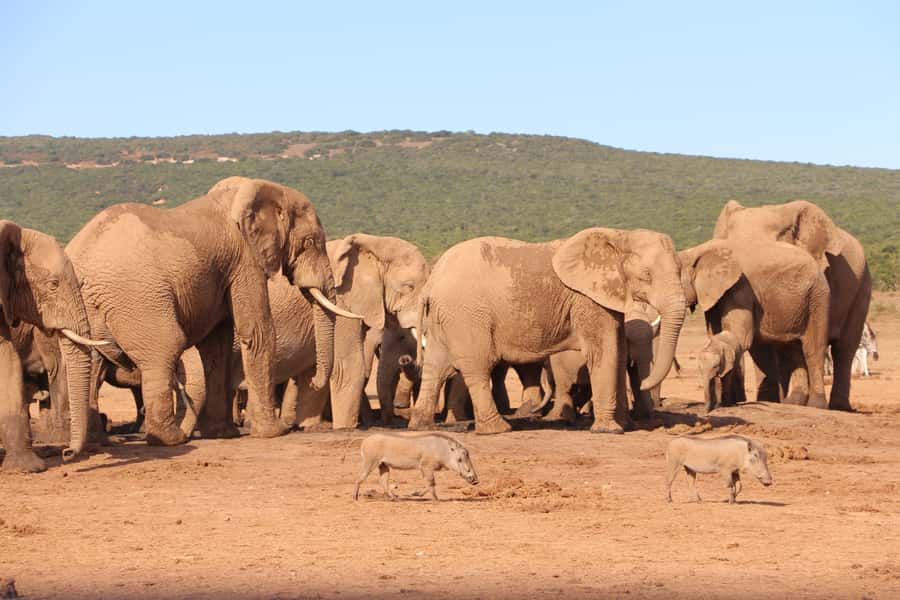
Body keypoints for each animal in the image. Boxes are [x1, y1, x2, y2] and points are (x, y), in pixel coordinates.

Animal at [64, 177, 344, 447]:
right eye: (310, 242)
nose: (314, 380)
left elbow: (217, 344)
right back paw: (170, 439)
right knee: (165, 347)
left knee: (93, 364)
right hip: (138, 297)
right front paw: (274, 432)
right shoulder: (245, 259)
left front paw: (223, 434)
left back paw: (96, 444)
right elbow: (256, 332)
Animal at [409, 228, 686, 435]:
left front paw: (624, 426)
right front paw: (609, 430)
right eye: (647, 276)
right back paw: (498, 429)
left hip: (444, 316)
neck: (619, 235)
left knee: (436, 366)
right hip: (467, 314)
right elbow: (604, 351)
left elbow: (616, 350)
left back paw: (421, 425)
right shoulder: (585, 298)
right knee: (477, 365)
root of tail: (431, 282)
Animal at [679, 239, 830, 411]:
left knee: (813, 349)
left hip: (817, 297)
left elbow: (741, 337)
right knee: (792, 349)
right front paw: (724, 404)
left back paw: (817, 406)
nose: (707, 410)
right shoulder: (714, 296)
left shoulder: (739, 288)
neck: (696, 251)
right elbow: (717, 334)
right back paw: (794, 403)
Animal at [714, 200, 872, 410]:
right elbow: (761, 345)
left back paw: (837, 406)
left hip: (861, 286)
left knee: (844, 347)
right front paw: (769, 401)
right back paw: (792, 401)